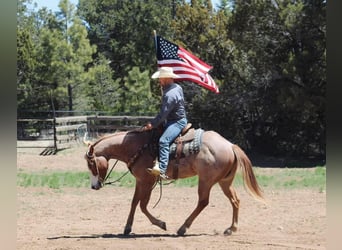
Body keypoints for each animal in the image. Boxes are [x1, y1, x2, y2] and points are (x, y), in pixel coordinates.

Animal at [83, 128, 264, 235]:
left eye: (91, 163)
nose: (94, 186)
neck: (136, 147)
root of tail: (230, 145)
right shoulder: (140, 181)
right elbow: (135, 203)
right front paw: (127, 228)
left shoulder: (148, 181)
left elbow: (142, 205)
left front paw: (161, 223)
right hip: (224, 181)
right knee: (235, 200)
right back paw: (231, 228)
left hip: (206, 180)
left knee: (203, 202)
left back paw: (183, 228)